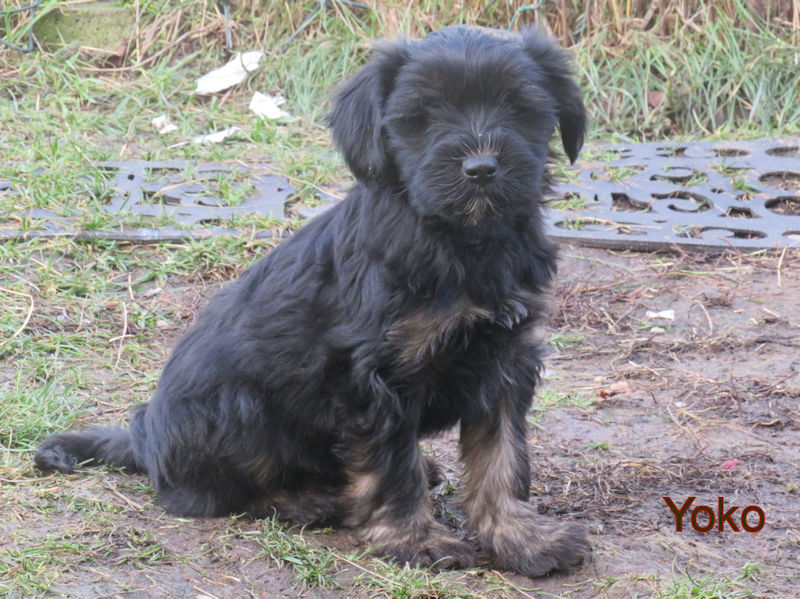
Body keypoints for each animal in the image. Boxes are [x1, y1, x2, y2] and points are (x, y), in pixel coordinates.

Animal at [35, 25, 590, 577]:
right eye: (424, 115)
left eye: (518, 107)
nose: (481, 168)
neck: (462, 242)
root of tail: (145, 440)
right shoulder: (373, 377)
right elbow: (393, 464)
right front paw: (415, 540)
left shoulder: (508, 359)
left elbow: (503, 459)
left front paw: (523, 539)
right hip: (239, 410)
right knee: (211, 494)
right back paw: (316, 500)